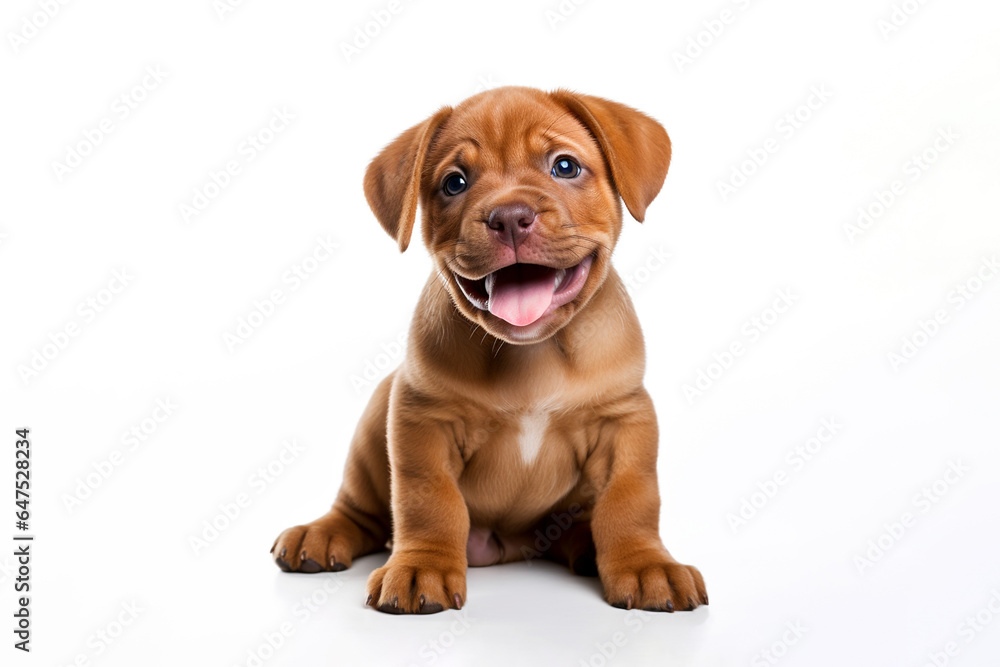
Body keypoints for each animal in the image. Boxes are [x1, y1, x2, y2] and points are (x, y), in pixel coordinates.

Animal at [272, 86, 712, 612]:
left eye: (565, 166)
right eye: (455, 183)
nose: (510, 217)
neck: (532, 352)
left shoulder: (625, 419)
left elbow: (632, 499)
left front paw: (646, 564)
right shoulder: (422, 419)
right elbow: (428, 501)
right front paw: (421, 566)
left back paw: (586, 545)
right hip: (376, 416)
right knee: (362, 511)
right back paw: (321, 534)